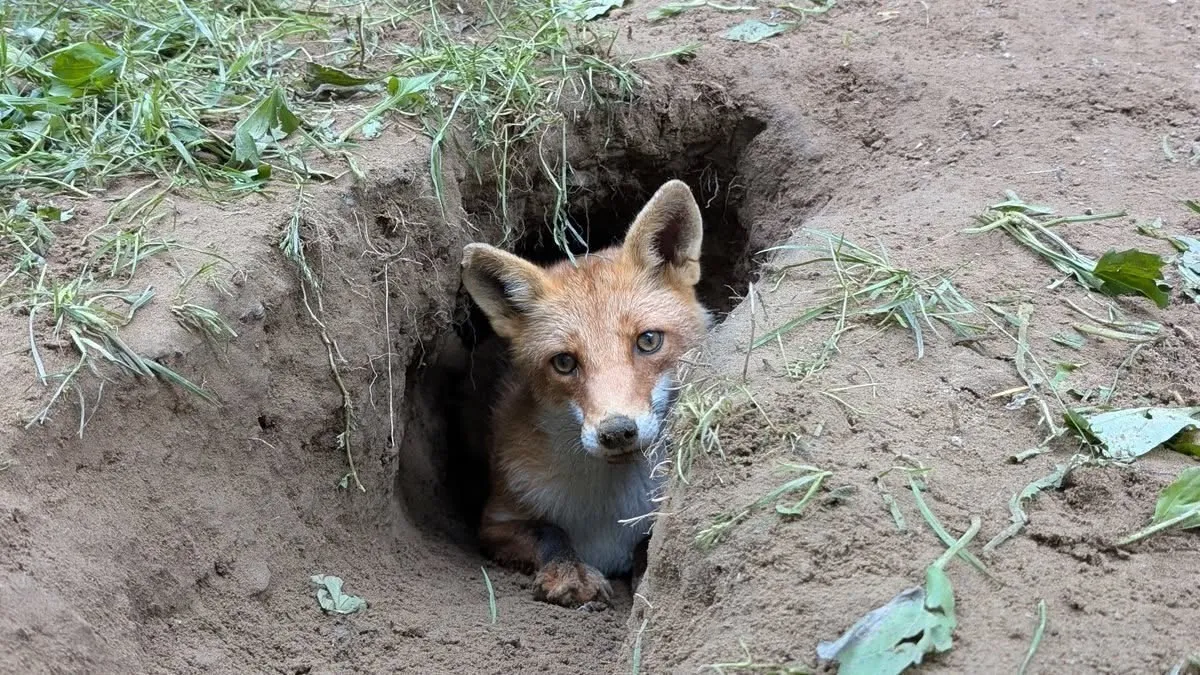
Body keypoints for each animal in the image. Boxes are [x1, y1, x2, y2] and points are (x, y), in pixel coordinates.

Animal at [459, 180, 710, 608]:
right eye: (564, 362)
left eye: (648, 341)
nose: (617, 431)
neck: (610, 509)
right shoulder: (495, 522)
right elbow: (550, 532)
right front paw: (569, 573)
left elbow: (645, 545)